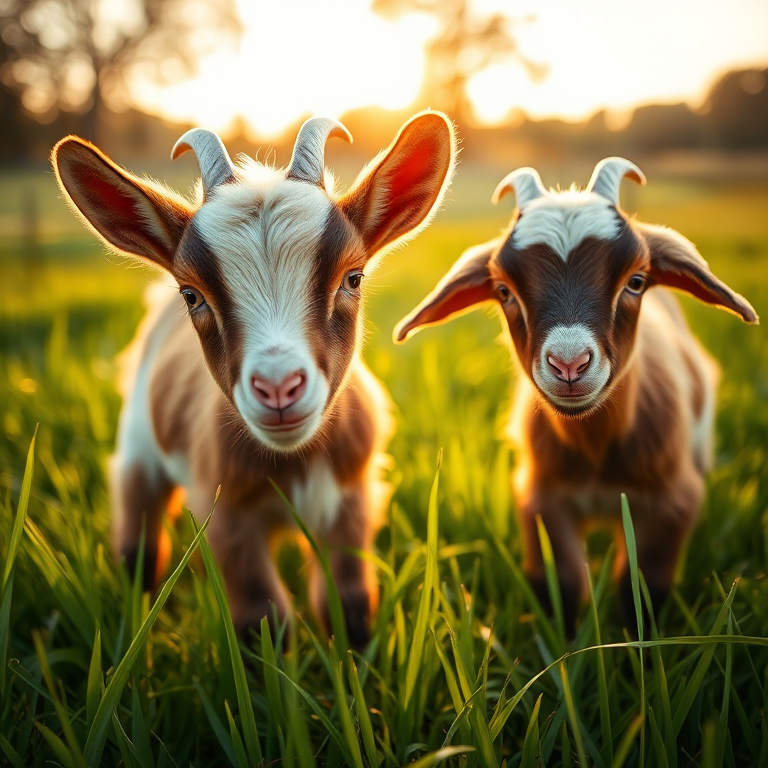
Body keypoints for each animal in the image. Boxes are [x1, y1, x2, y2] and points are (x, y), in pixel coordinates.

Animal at [52, 112, 456, 646]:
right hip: (139, 446)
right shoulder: (224, 515)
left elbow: (349, 605)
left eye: (353, 278)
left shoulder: (354, 499)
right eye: (192, 295)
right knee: (139, 545)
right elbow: (263, 620)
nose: (279, 387)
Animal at [395, 158, 757, 635]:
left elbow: (642, 589)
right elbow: (562, 584)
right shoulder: (541, 500)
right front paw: (565, 650)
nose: (569, 364)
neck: (595, 451)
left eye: (636, 281)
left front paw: (637, 649)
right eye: (504, 290)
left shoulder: (673, 502)